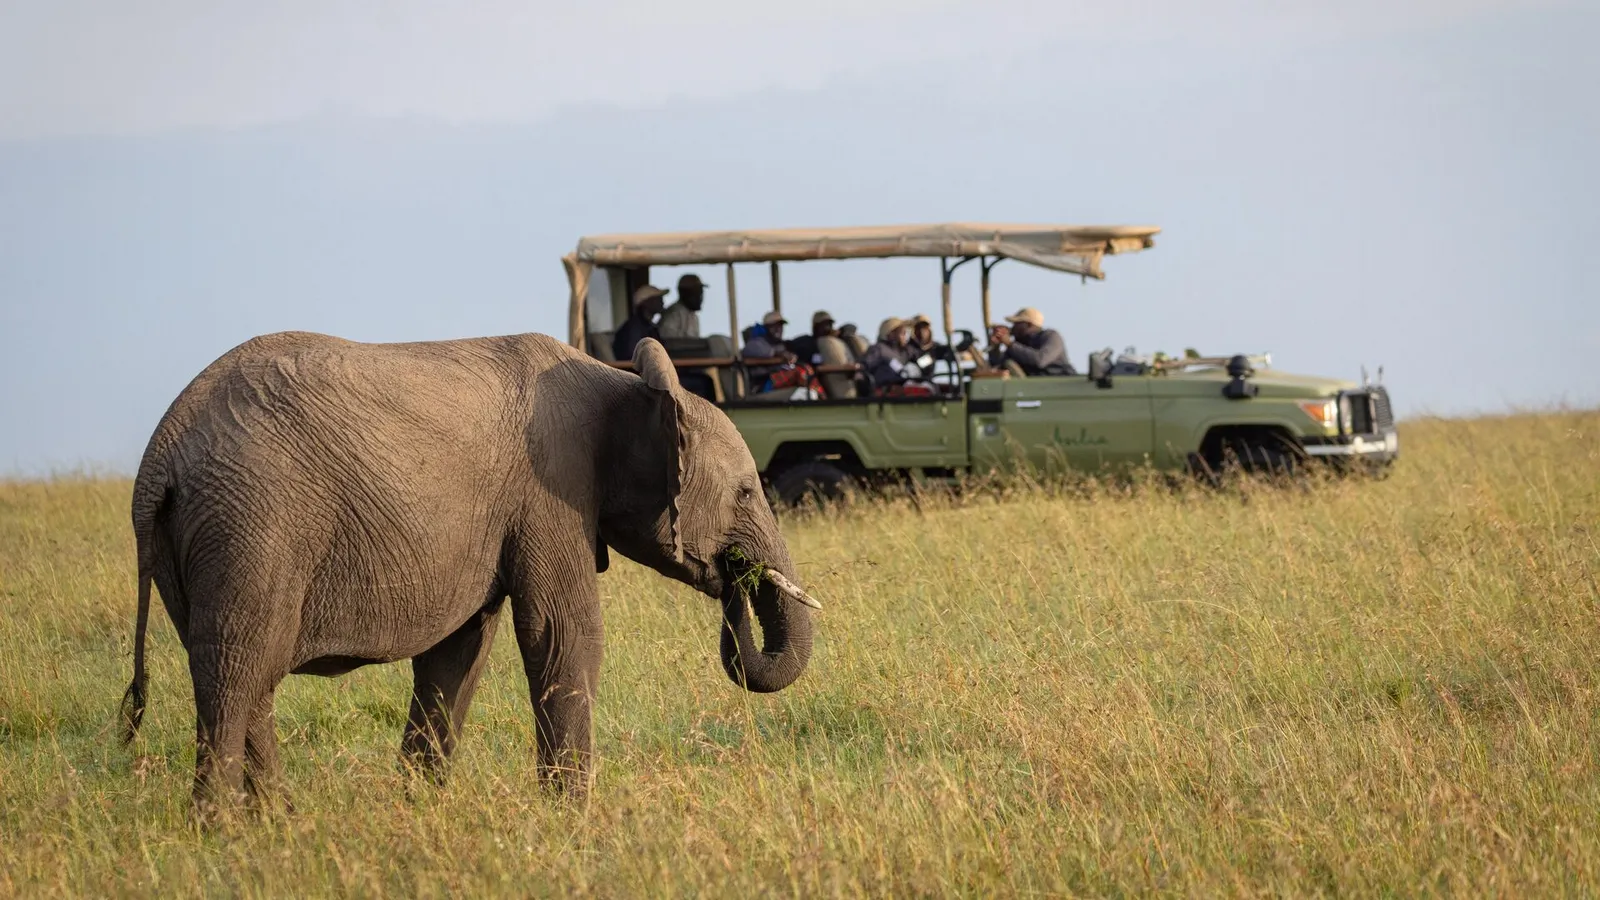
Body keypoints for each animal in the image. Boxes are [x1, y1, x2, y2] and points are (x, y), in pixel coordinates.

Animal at [119, 332, 820, 816]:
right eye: (747, 492)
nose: (737, 579)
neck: (626, 384)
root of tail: (160, 455)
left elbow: (460, 652)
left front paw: (417, 809)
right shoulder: (550, 489)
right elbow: (564, 633)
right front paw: (573, 819)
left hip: (204, 542)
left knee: (248, 682)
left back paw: (282, 825)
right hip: (249, 529)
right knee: (236, 674)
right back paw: (222, 832)